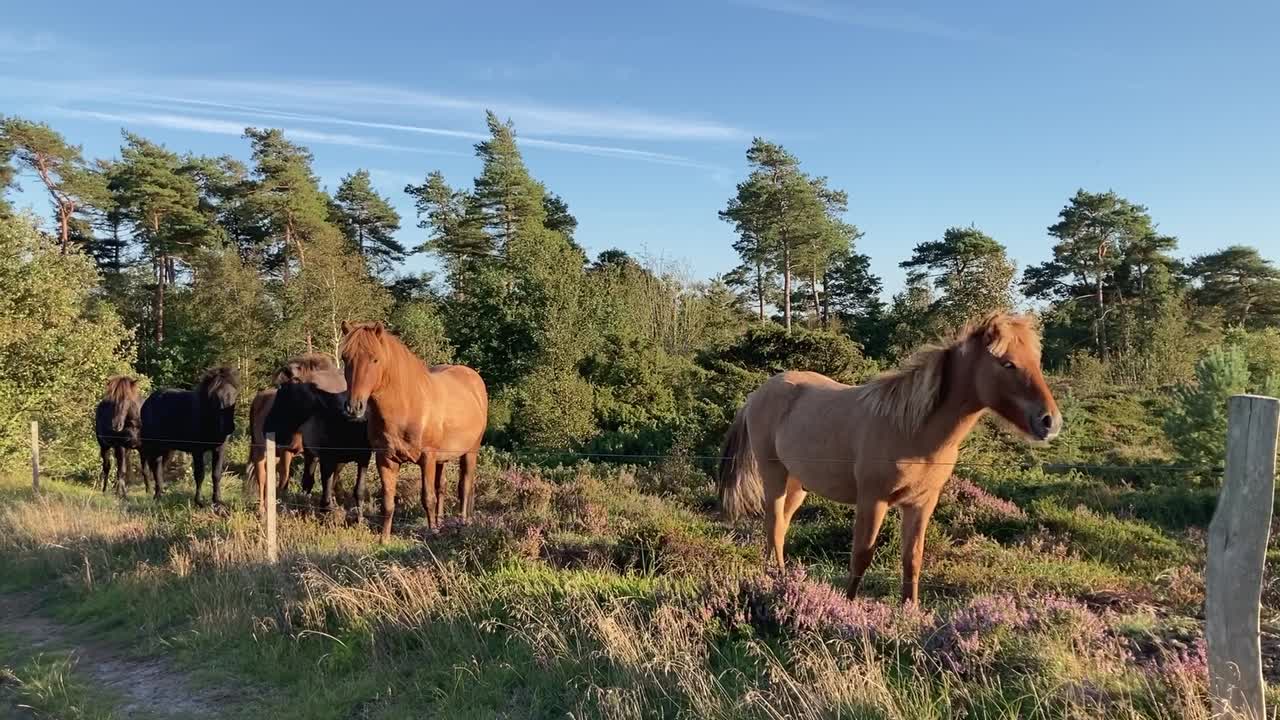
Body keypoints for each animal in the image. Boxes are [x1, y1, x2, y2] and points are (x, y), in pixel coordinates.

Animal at [140, 367, 240, 506]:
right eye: (214, 396)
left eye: (235, 394)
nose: (229, 427)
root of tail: (147, 402)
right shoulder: (197, 450)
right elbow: (200, 474)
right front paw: (199, 501)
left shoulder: (219, 449)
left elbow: (216, 474)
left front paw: (217, 500)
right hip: (154, 445)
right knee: (155, 468)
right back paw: (157, 495)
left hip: (167, 448)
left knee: (159, 467)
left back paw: (161, 493)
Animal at [263, 379, 372, 512]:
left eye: (283, 401)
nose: (266, 428)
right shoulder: (324, 458)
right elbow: (322, 487)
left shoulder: (364, 458)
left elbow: (359, 490)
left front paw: (359, 516)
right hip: (315, 455)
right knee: (310, 481)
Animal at [339, 320, 489, 542]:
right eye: (345, 358)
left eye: (375, 359)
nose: (353, 407)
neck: (408, 406)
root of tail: (473, 378)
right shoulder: (386, 459)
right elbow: (388, 502)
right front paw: (384, 538)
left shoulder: (427, 457)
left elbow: (428, 498)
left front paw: (433, 533)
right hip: (442, 458)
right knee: (442, 486)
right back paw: (443, 522)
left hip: (470, 451)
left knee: (465, 486)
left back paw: (463, 523)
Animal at [717, 312, 1062, 605]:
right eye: (1007, 364)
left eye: (1036, 361)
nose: (1050, 422)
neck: (912, 430)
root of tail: (758, 394)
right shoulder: (873, 499)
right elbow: (861, 555)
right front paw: (848, 605)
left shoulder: (921, 503)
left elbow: (913, 559)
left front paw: (910, 610)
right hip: (773, 474)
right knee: (774, 524)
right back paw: (777, 579)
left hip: (797, 483)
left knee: (780, 527)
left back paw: (778, 575)